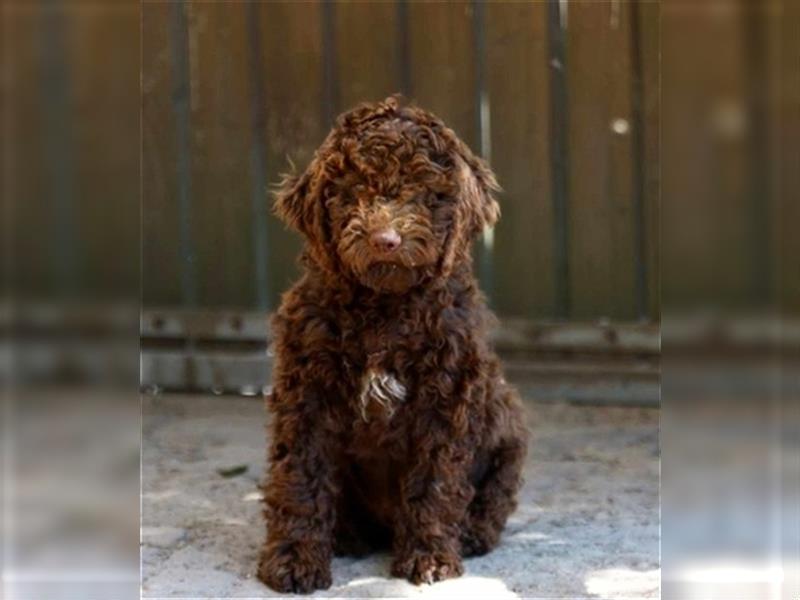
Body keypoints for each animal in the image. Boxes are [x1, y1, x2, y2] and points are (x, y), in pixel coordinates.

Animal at [260, 96, 528, 592]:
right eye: (353, 190)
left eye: (423, 191)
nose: (385, 239)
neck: (385, 306)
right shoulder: (304, 393)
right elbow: (300, 475)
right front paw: (293, 559)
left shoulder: (449, 395)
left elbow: (436, 479)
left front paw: (428, 558)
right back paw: (347, 536)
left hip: (509, 427)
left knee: (496, 494)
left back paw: (472, 532)